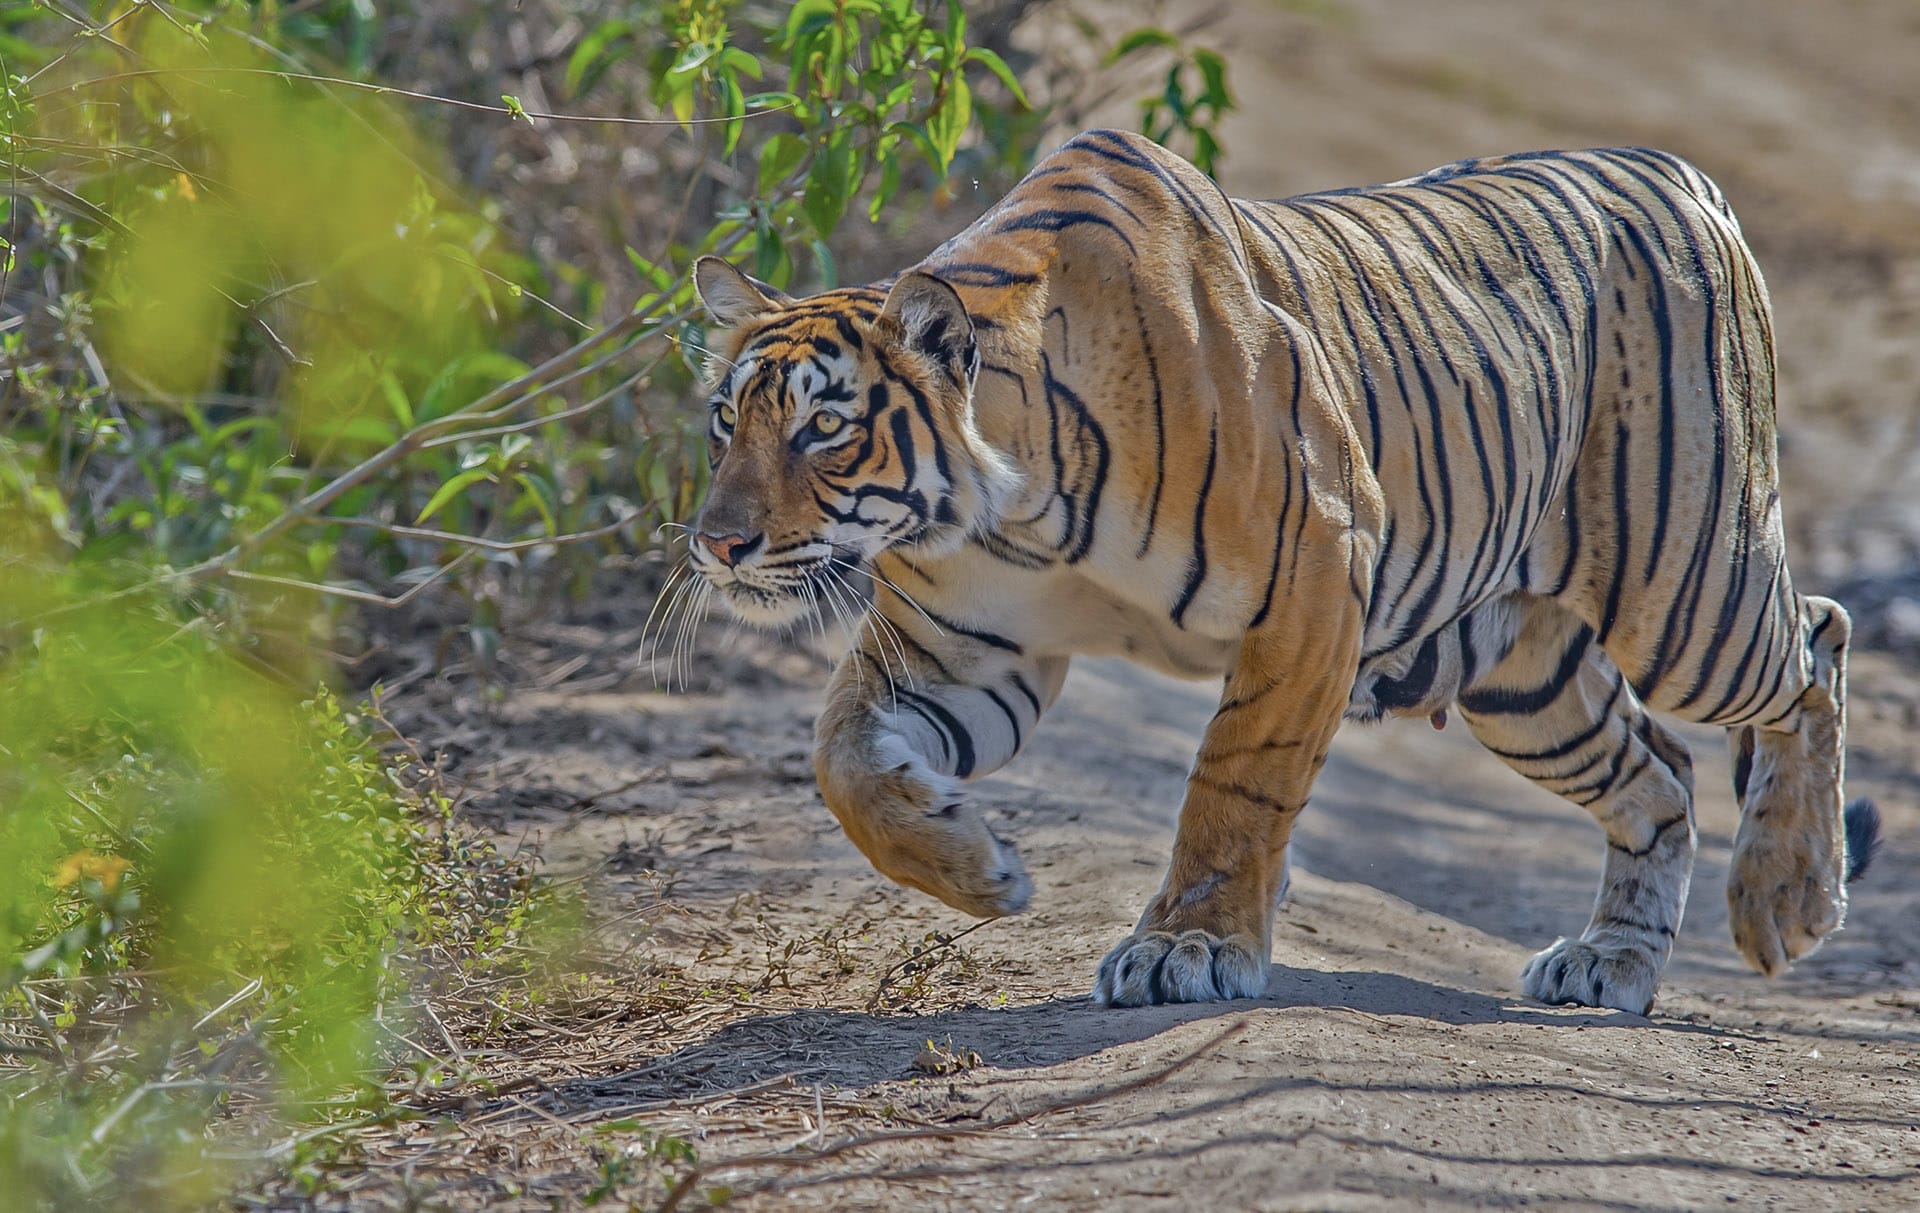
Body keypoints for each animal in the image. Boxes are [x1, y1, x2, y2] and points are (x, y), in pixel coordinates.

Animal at [678, 127, 1880, 1013]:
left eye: (825, 428)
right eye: (725, 420)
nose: (717, 543)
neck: (1008, 510)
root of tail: (1678, 170)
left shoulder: (1313, 580)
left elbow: (1238, 781)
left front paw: (1189, 946)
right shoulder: (962, 651)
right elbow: (844, 757)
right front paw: (977, 869)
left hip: (1685, 594)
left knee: (1815, 638)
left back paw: (1786, 899)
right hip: (1521, 672)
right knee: (1660, 774)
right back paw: (1610, 960)